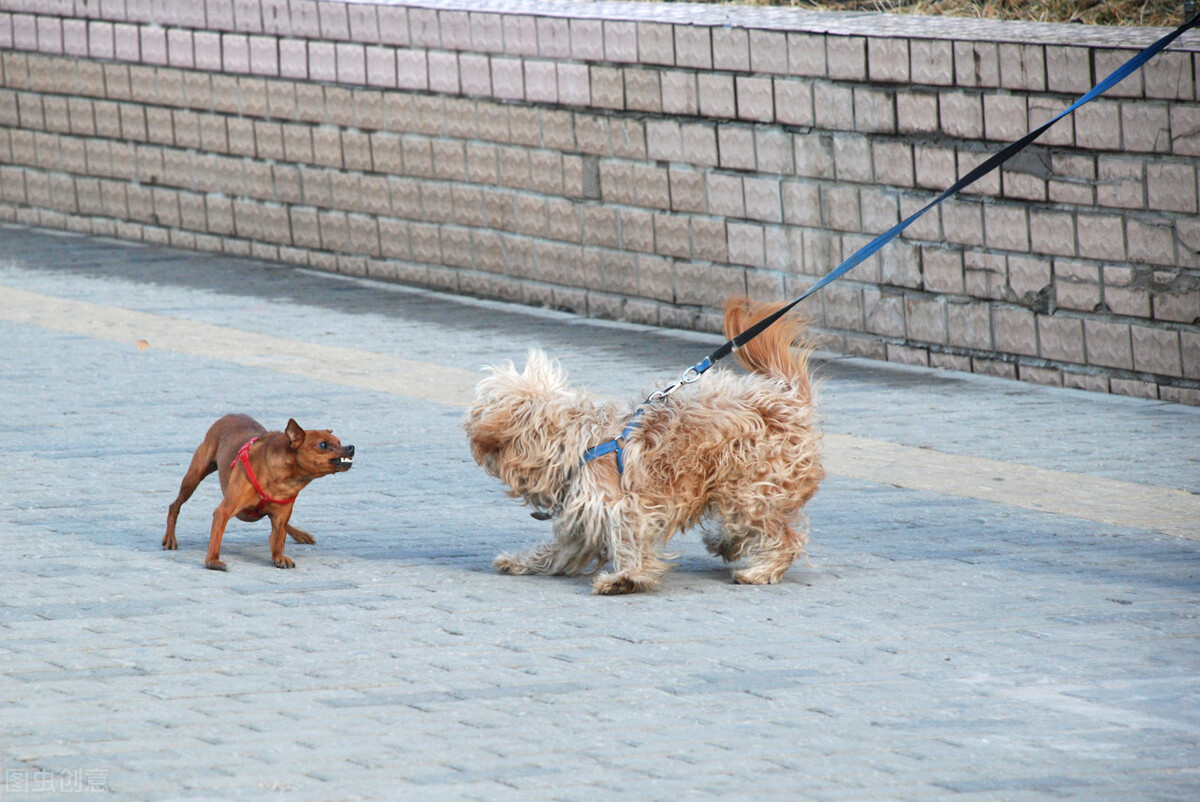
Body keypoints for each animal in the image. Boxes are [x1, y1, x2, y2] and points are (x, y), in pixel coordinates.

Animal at [164, 413, 352, 569]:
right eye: (323, 445)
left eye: (339, 442)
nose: (351, 447)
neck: (284, 480)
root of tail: (230, 415)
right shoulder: (223, 511)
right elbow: (216, 538)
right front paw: (213, 560)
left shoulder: (280, 519)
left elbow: (278, 540)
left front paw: (279, 557)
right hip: (194, 477)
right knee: (175, 505)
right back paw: (170, 538)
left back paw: (300, 535)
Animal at [465, 297, 825, 593]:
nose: (469, 426)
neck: (576, 444)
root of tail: (787, 399)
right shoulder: (581, 518)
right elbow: (556, 553)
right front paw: (520, 561)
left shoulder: (623, 507)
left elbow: (628, 542)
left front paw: (625, 578)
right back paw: (726, 543)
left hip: (752, 490)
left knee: (786, 536)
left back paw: (762, 570)